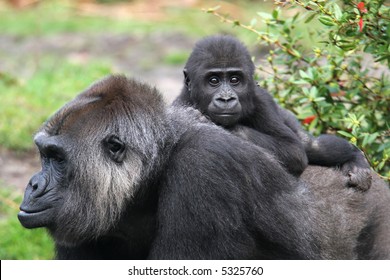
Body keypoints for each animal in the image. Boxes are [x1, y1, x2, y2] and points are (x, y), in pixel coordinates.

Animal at [174, 34, 372, 189]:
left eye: (234, 80)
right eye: (213, 80)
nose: (226, 99)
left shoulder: (262, 101)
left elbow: (293, 150)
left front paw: (216, 124)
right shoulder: (179, 106)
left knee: (310, 145)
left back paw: (356, 158)